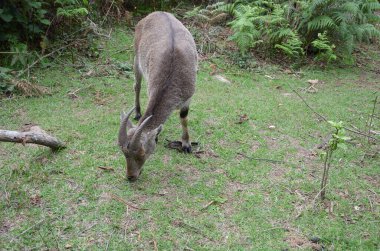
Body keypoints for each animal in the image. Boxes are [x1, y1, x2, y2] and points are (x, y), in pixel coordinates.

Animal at [118, 11, 196, 181]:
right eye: (124, 153)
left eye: (142, 152)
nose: (131, 176)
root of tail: (157, 13)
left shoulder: (188, 97)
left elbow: (184, 117)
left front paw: (186, 145)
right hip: (136, 56)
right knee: (137, 85)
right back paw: (138, 112)